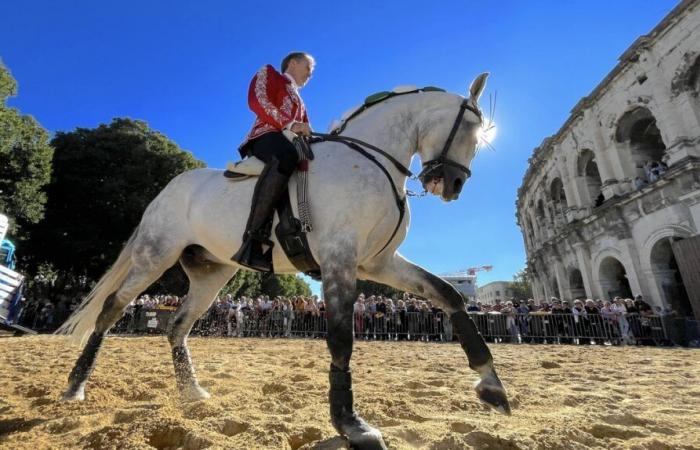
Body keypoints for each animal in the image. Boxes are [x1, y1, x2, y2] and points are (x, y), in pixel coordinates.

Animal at [57, 74, 508, 450]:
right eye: (471, 130)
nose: (451, 184)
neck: (372, 161)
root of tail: (168, 189)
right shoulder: (340, 260)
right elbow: (341, 339)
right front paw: (352, 425)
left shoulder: (378, 264)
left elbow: (448, 294)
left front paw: (491, 383)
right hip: (155, 255)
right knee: (112, 308)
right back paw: (75, 387)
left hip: (211, 273)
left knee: (177, 325)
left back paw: (192, 392)